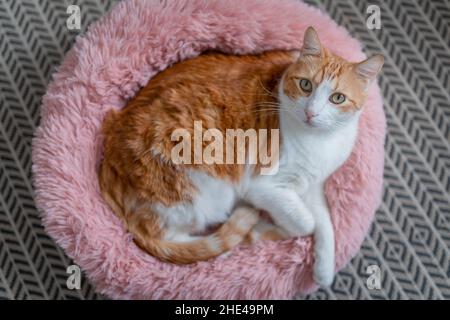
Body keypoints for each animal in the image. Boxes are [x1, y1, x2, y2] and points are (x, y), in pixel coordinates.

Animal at [99, 27, 384, 286]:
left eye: (337, 98)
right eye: (306, 85)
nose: (311, 113)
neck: (319, 142)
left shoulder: (312, 185)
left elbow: (324, 221)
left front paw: (323, 271)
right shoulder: (263, 187)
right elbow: (306, 222)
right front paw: (266, 229)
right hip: (210, 192)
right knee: (172, 240)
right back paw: (226, 247)